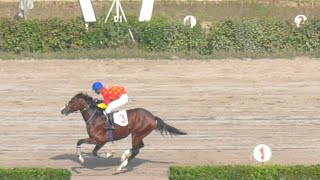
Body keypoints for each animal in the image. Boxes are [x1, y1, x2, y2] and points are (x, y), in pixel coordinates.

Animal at [60, 92, 188, 171]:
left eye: (71, 102)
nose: (62, 110)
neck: (95, 117)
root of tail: (153, 116)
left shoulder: (99, 139)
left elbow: (84, 145)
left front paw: (83, 158)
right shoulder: (100, 141)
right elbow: (89, 148)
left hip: (137, 134)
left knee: (136, 149)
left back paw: (122, 164)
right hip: (138, 134)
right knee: (139, 146)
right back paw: (124, 158)